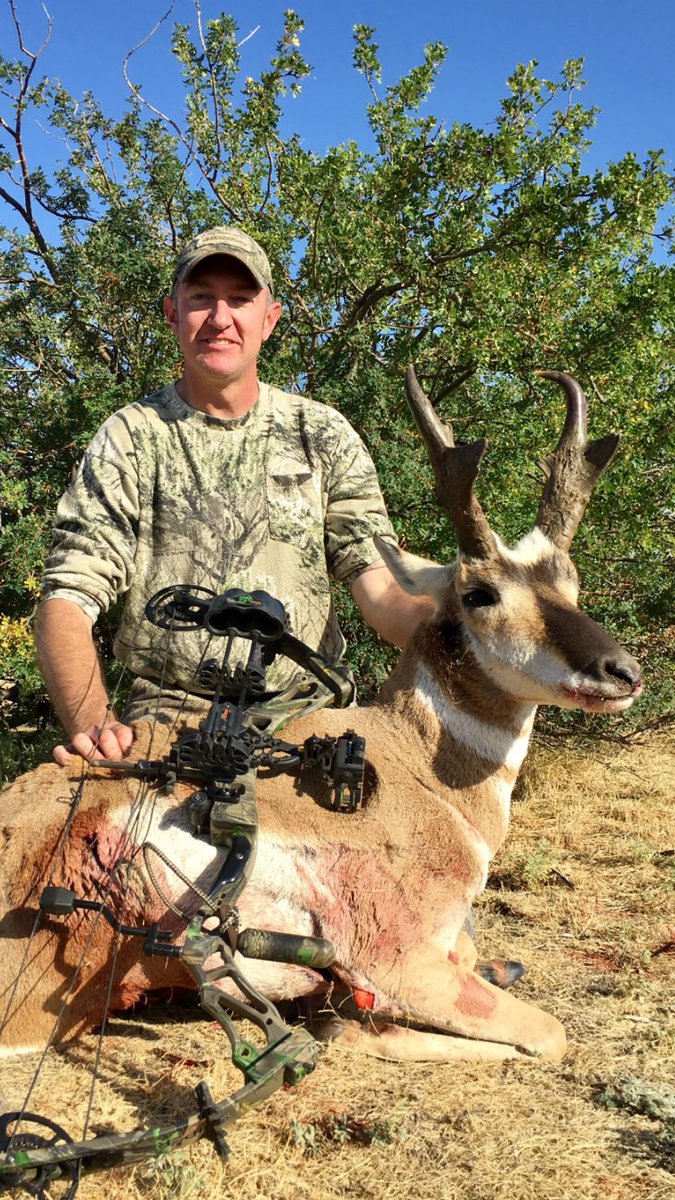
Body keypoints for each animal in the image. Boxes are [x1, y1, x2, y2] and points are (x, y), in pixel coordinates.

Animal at [0, 369, 641, 1065]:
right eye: (479, 593)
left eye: (570, 583)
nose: (623, 672)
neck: (416, 770)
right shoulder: (402, 963)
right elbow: (545, 1033)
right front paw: (344, 1022)